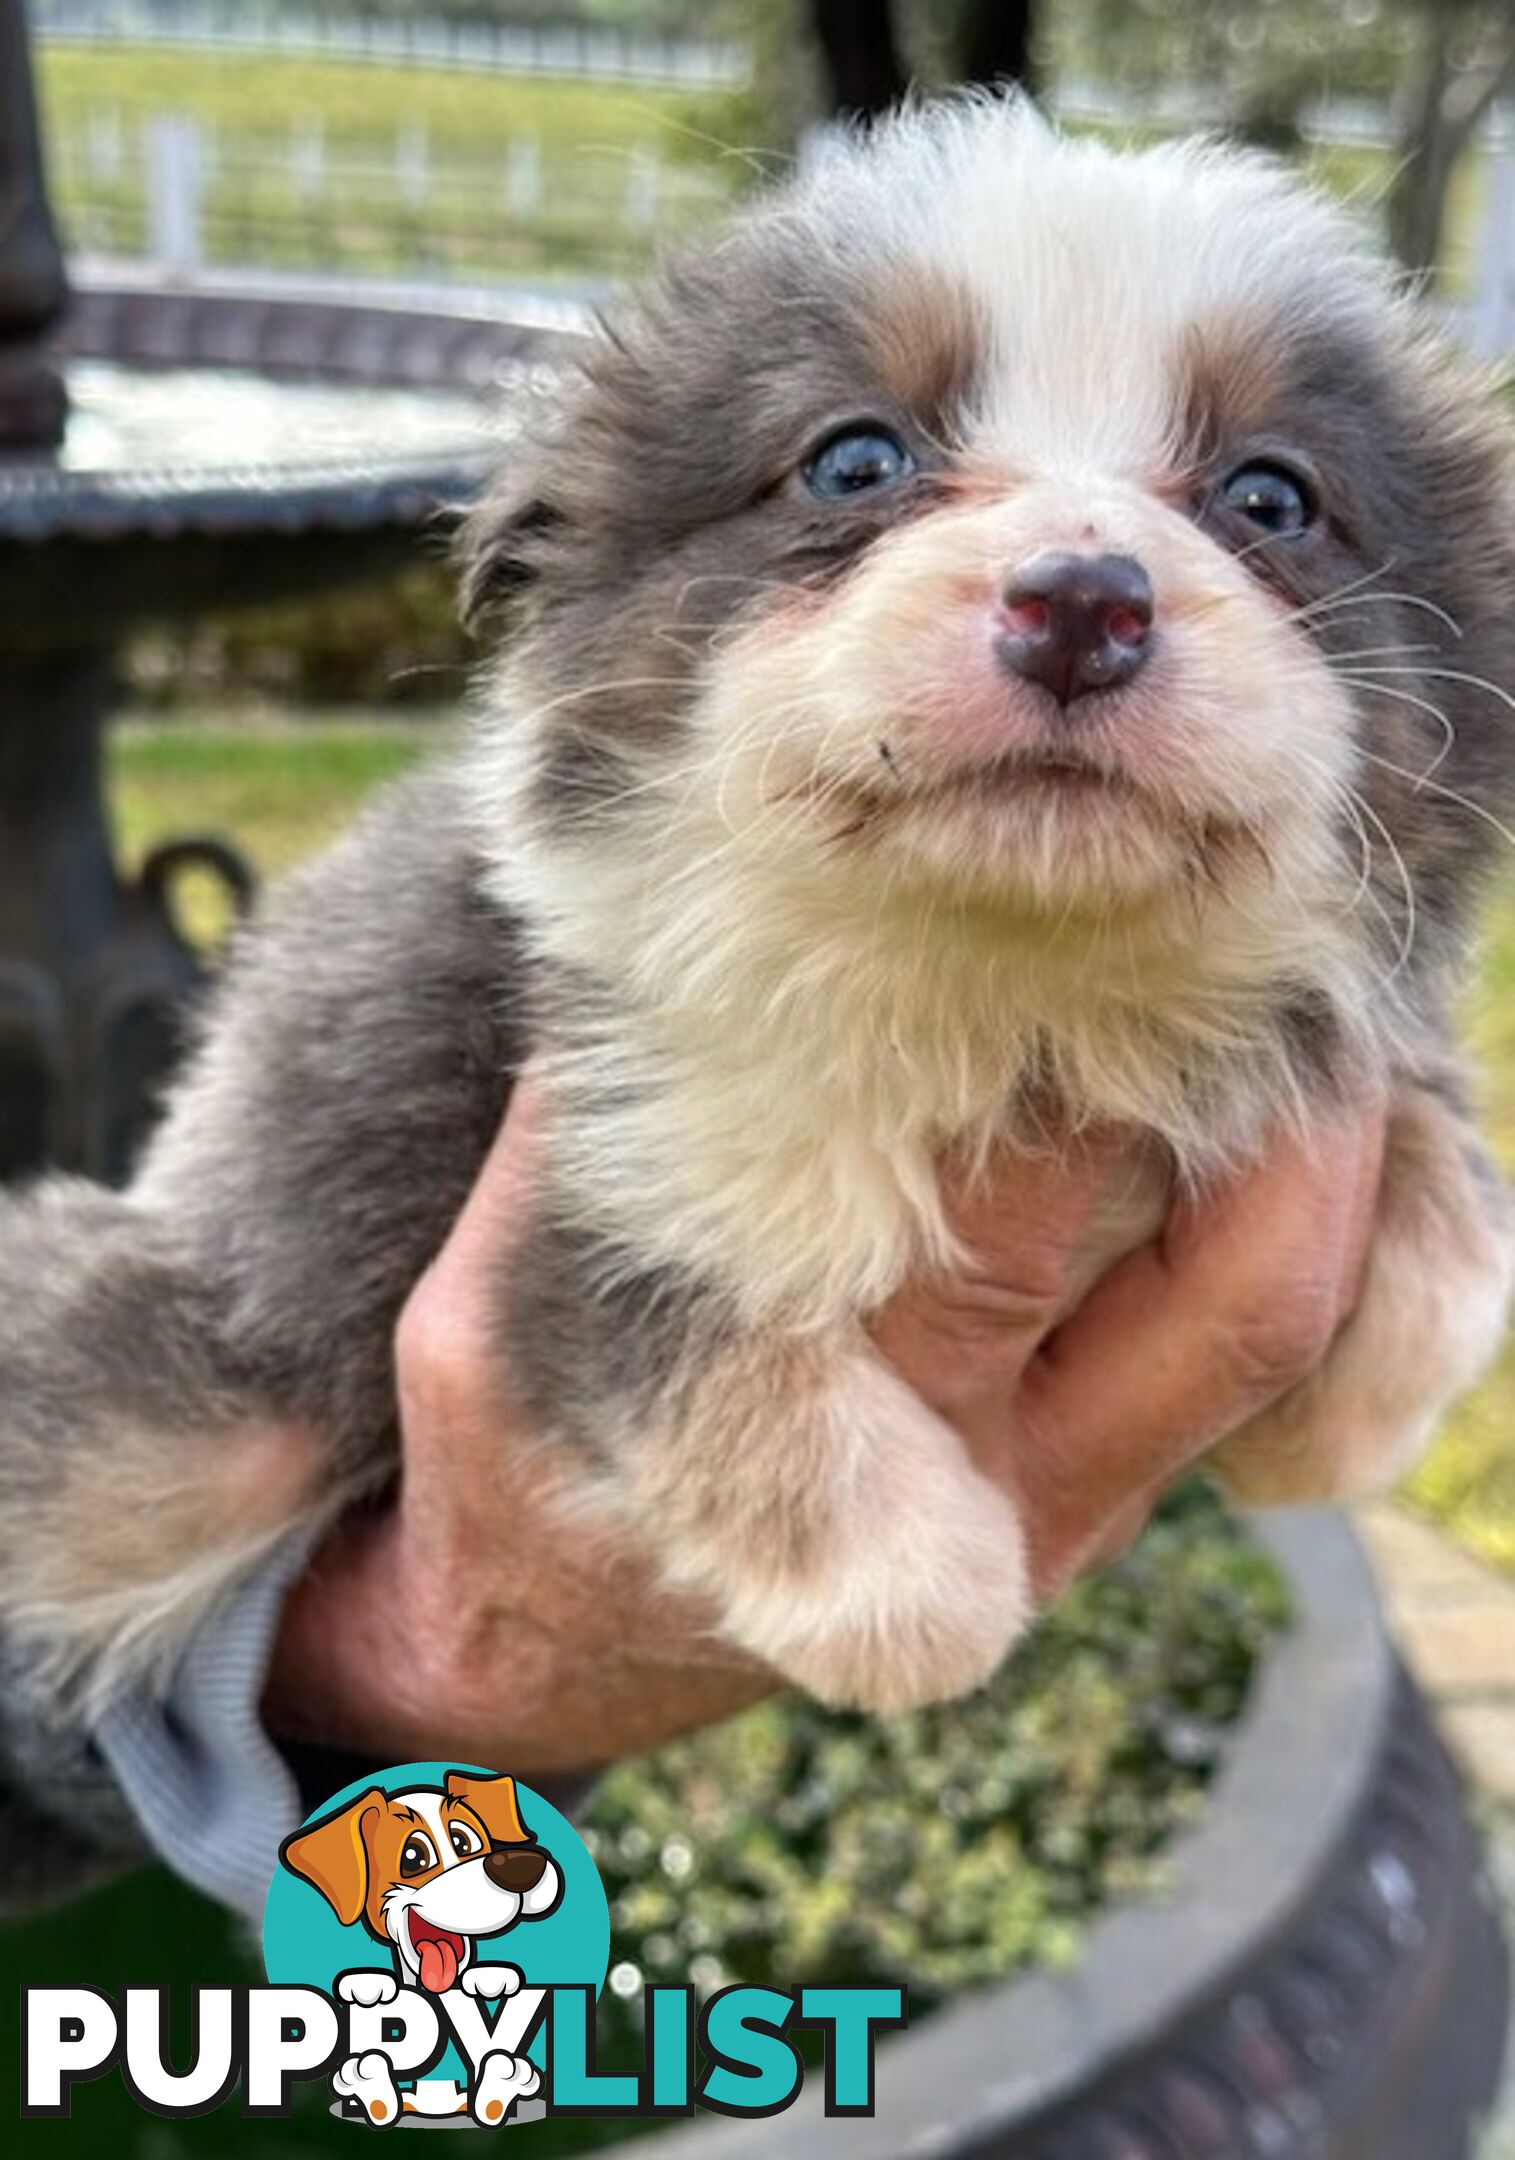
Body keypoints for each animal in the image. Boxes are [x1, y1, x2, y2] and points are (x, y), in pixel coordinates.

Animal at [2, 97, 1512, 1719]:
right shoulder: (583, 1164)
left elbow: (1446, 1192)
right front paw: (917, 1592)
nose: (1081, 603)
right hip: (201, 1404)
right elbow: (686, 1335)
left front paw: (1335, 1422)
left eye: (1272, 497)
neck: (1003, 976)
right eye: (852, 462)